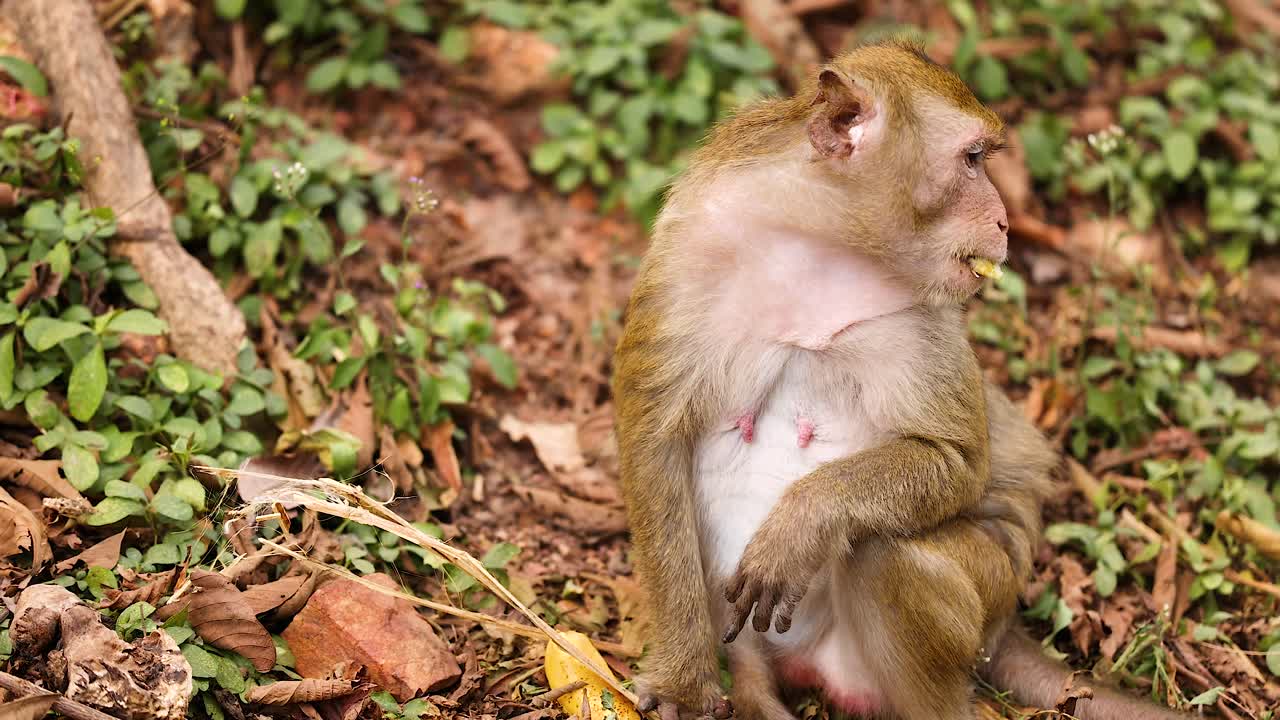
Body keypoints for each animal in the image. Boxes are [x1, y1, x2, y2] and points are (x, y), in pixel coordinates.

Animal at [611, 39, 1189, 720]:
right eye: (972, 159)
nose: (1004, 223)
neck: (819, 248)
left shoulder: (919, 320)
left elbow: (955, 461)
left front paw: (802, 523)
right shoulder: (687, 259)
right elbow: (656, 443)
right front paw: (684, 682)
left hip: (986, 594)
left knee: (884, 550)